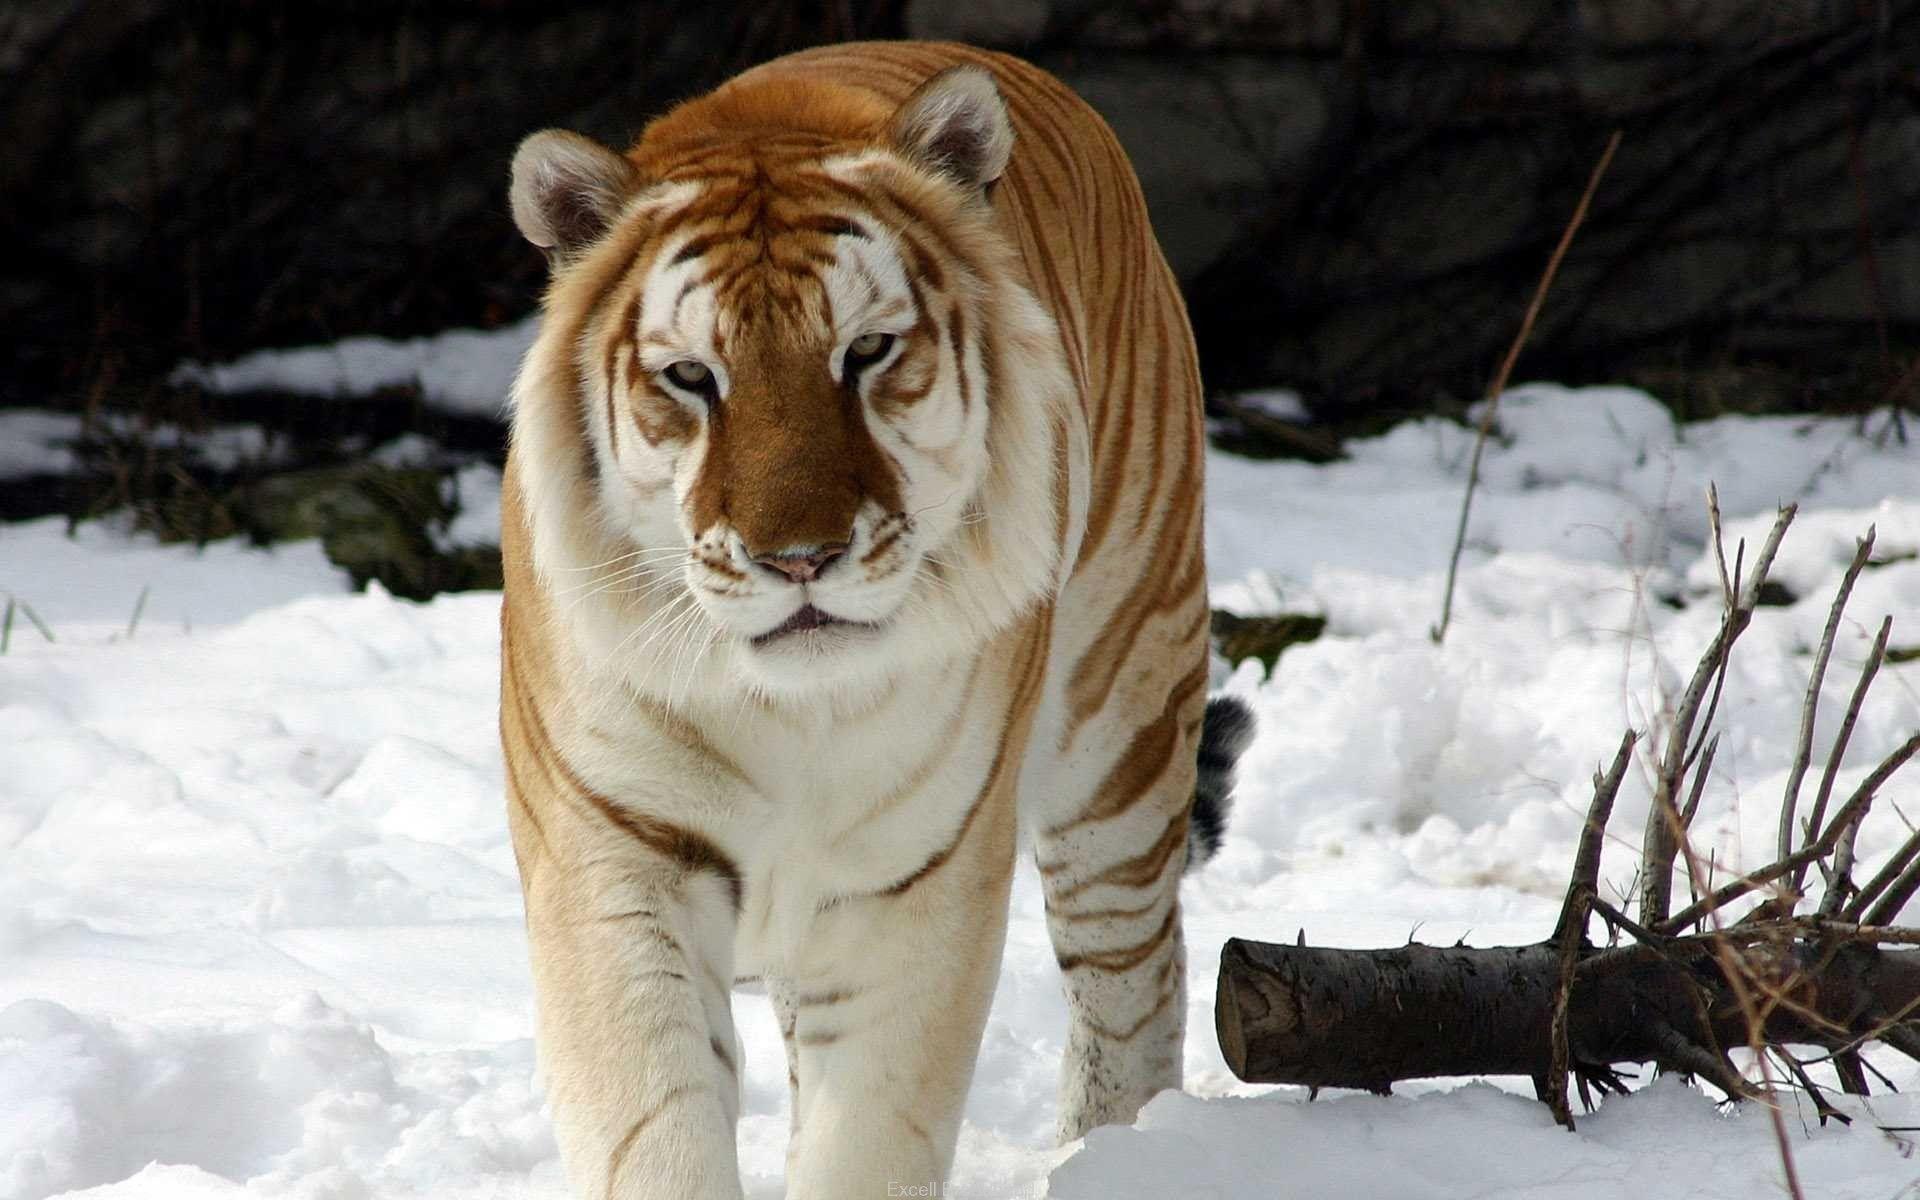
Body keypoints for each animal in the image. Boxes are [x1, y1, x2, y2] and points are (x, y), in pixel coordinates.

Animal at [499, 39, 1253, 1199]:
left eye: (865, 353)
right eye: (691, 377)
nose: (800, 558)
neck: (787, 710)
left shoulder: (916, 878)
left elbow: (869, 1133)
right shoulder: (614, 855)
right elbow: (657, 1124)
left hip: (1122, 720)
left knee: (1136, 975)